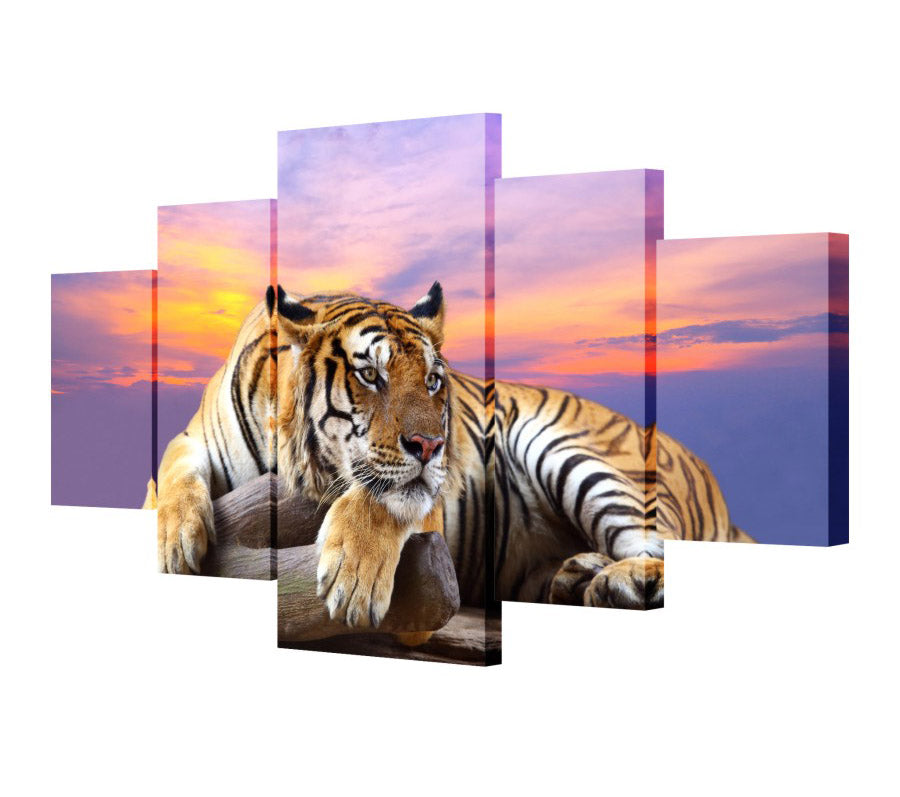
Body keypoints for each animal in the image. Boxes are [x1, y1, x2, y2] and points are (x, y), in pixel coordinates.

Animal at [152, 280, 752, 633]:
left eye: (434, 381)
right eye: (370, 375)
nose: (432, 446)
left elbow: (382, 498)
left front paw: (353, 580)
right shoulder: (194, 436)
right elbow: (171, 470)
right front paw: (176, 541)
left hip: (571, 451)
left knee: (663, 552)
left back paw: (617, 581)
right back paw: (576, 575)